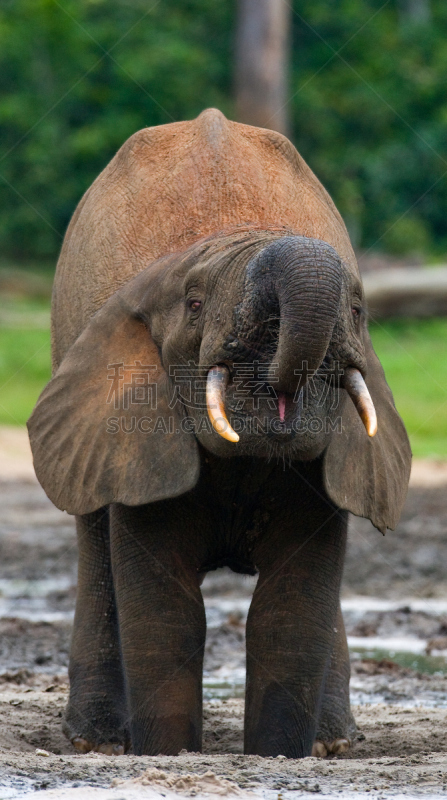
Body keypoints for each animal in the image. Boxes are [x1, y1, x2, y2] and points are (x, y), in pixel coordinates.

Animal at [28, 106, 412, 756]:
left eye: (359, 312)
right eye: (195, 304)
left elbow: (289, 609)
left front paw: (280, 755)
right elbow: (168, 610)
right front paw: (166, 751)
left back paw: (332, 744)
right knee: (94, 543)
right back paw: (97, 742)